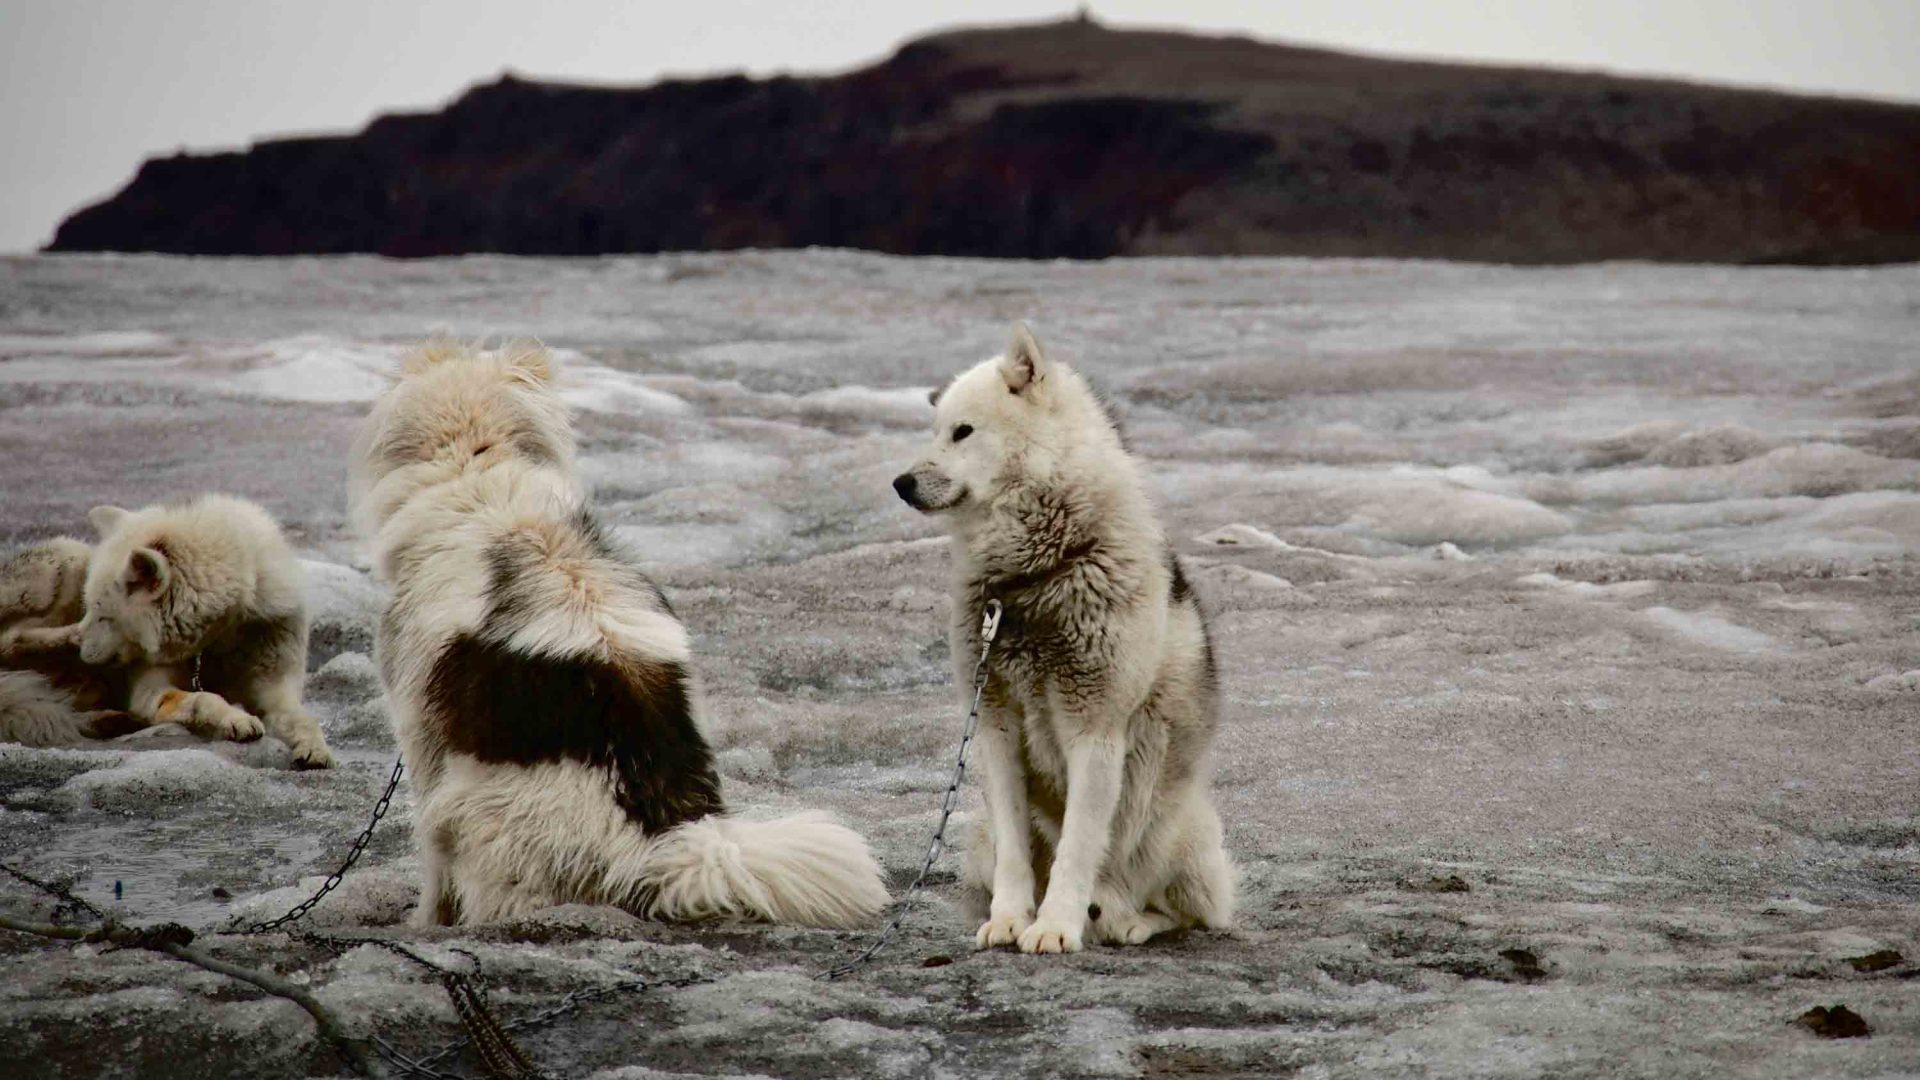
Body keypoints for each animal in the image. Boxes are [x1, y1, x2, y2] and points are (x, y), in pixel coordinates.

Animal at [45, 495, 337, 764]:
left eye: (103, 617)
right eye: (89, 608)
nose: (74, 645)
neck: (218, 638)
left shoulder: (274, 675)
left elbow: (303, 718)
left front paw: (314, 749)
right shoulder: (150, 689)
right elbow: (202, 698)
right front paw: (236, 719)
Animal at [355, 338, 890, 926]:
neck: (480, 465)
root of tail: (658, 843)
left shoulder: (420, 734)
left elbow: (431, 865)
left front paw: (425, 924)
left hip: (474, 813)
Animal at [894, 319, 1236, 949]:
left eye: (962, 432)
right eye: (934, 432)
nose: (900, 483)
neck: (1034, 573)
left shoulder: (1094, 731)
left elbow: (1079, 848)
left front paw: (1055, 926)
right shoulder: (996, 728)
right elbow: (1017, 854)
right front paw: (1010, 919)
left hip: (1177, 839)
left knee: (1174, 907)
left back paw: (1125, 921)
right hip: (977, 839)